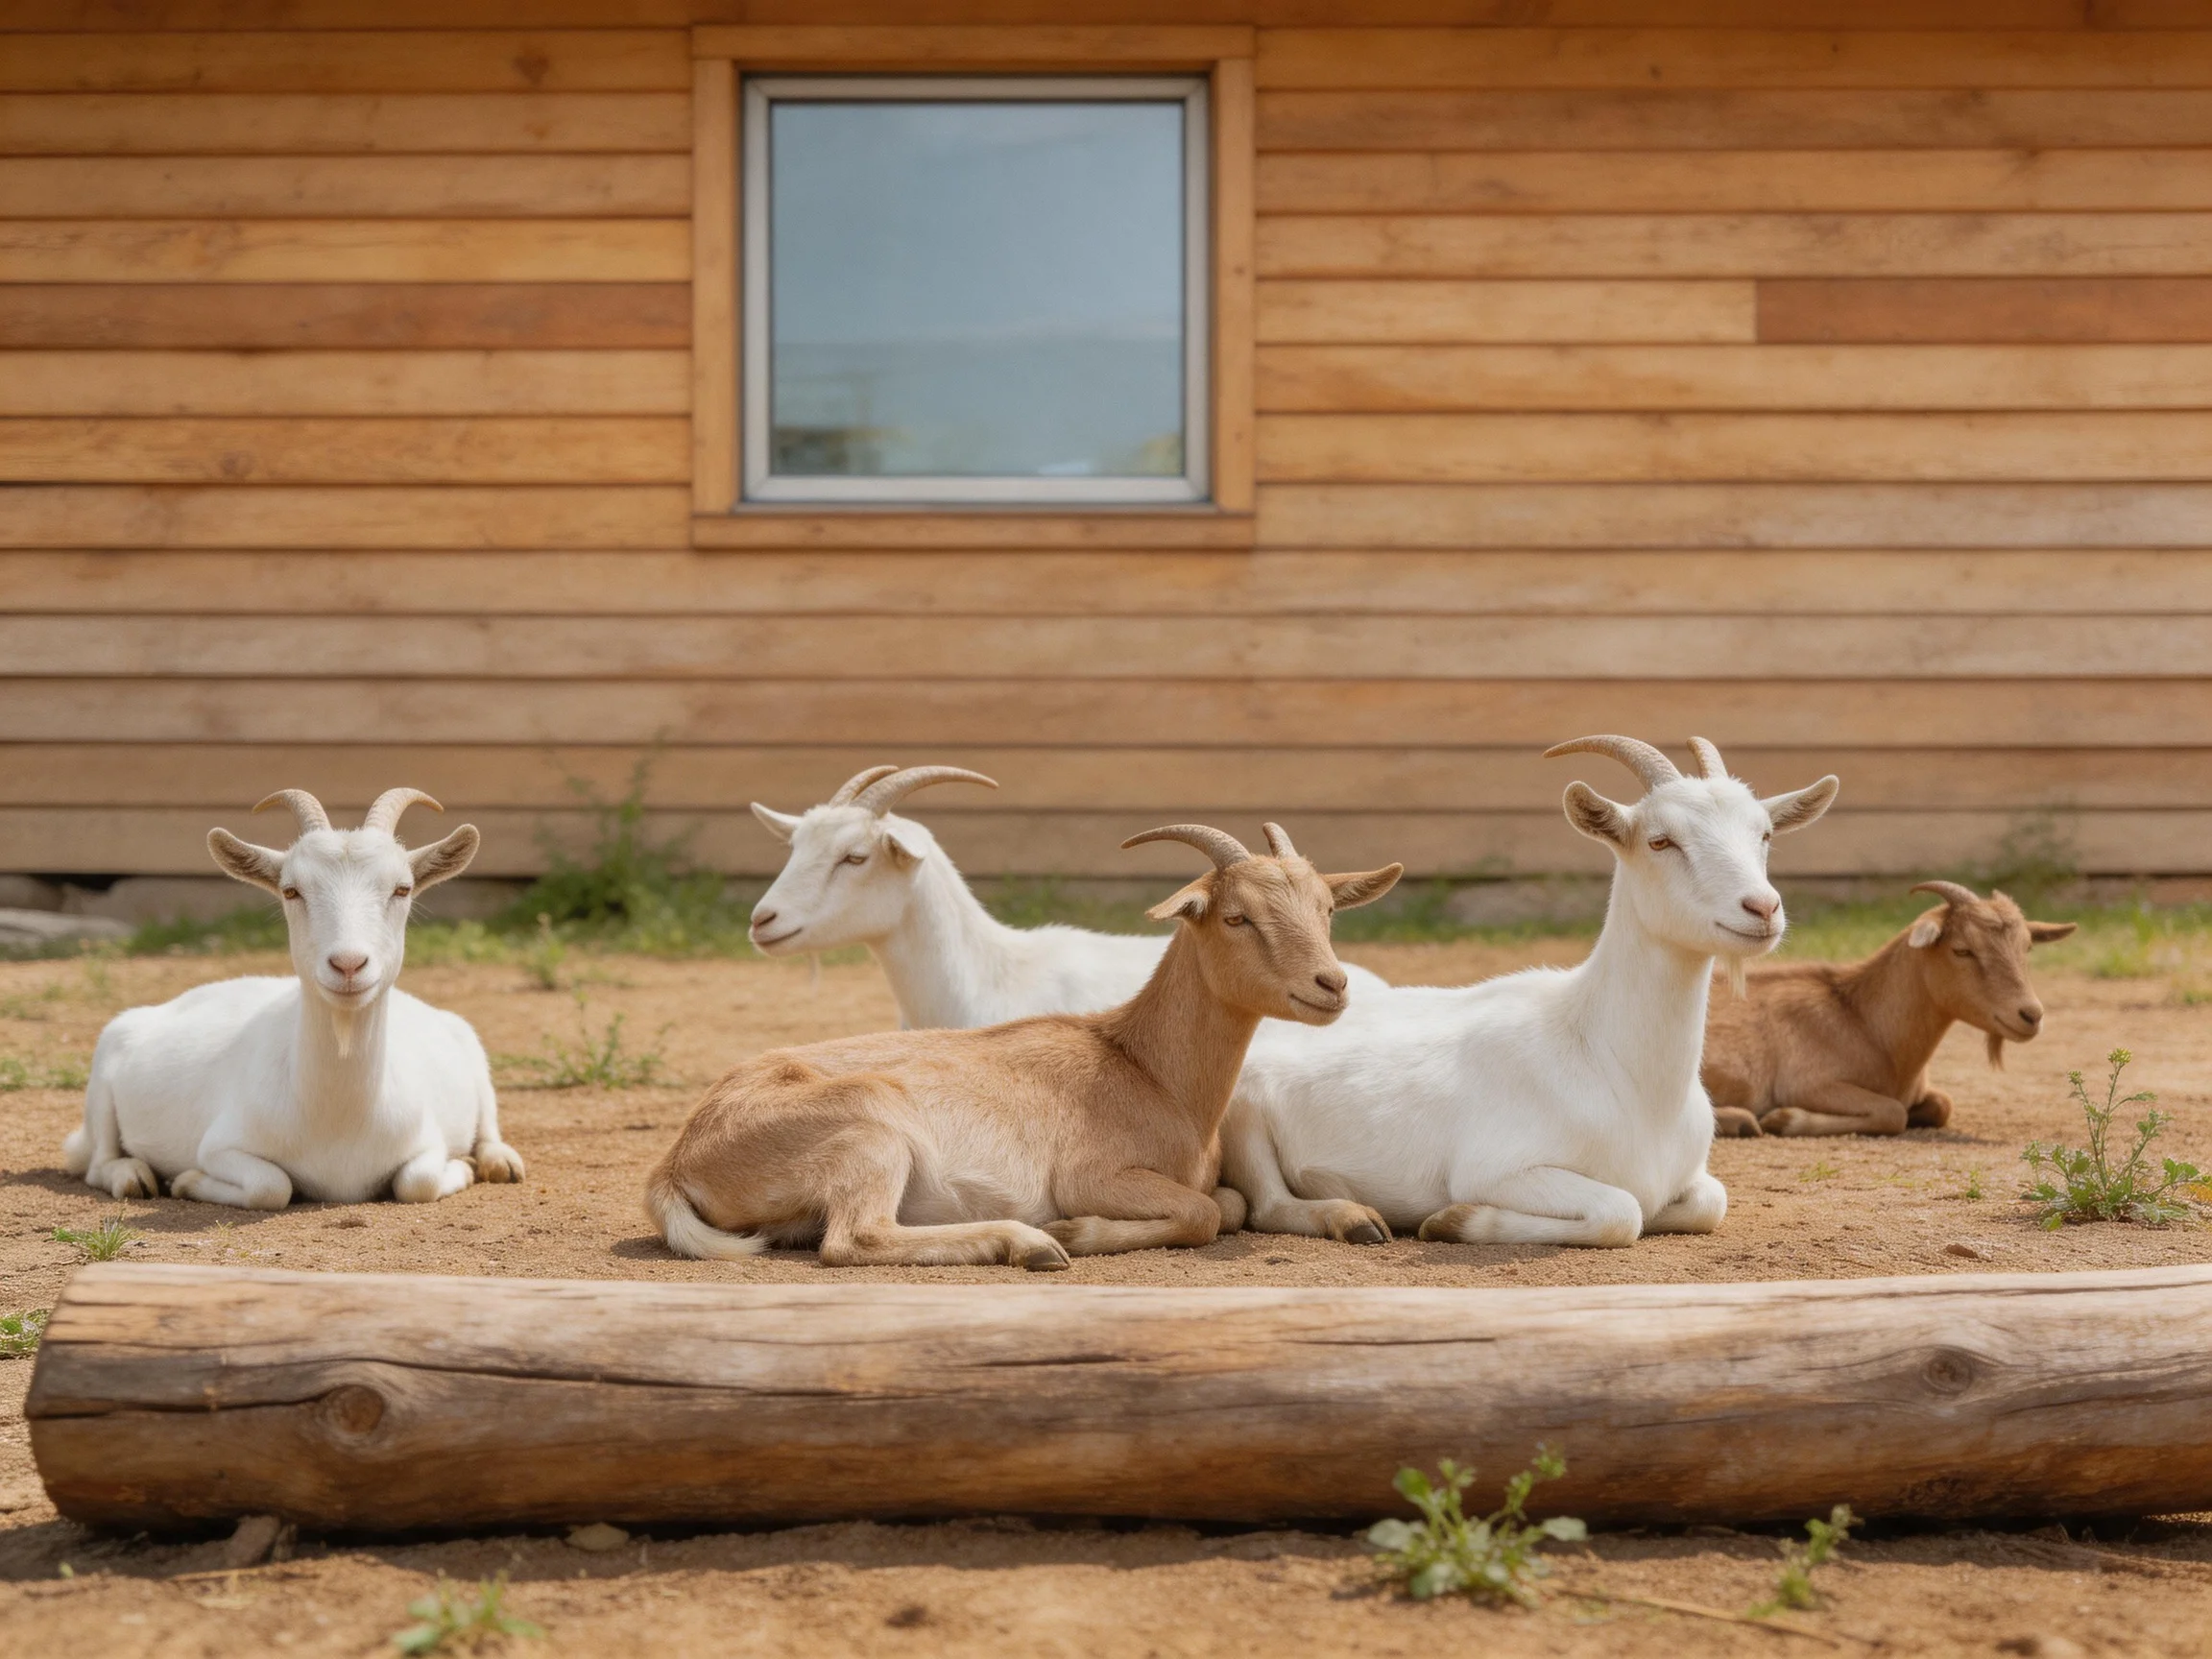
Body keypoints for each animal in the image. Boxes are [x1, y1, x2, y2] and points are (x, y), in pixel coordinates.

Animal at [65, 789, 523, 1208]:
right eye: (291, 891)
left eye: (402, 889)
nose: (348, 964)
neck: (341, 1120)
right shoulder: (220, 1145)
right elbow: (271, 1187)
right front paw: (185, 1181)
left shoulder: (426, 1140)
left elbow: (419, 1183)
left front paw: (463, 1166)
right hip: (104, 1068)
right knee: (96, 1161)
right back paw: (133, 1175)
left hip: (471, 1047)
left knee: (489, 1128)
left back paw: (500, 1161)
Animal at [647, 823, 1402, 1269]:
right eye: (1236, 916)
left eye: (1325, 910)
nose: (1330, 985)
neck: (1145, 1069)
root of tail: (677, 1161)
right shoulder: (1093, 1174)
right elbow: (1205, 1212)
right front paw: (1072, 1232)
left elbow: (1234, 1204)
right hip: (869, 1134)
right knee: (853, 1239)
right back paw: (1030, 1243)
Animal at [1220, 736, 1837, 1249]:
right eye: (1661, 841)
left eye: (1764, 835)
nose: (1762, 908)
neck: (1616, 1068)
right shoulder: (1498, 1168)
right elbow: (1621, 1212)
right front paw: (1452, 1220)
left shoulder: (1693, 1178)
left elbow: (1710, 1201)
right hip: (1244, 1114)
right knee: (1269, 1204)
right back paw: (1356, 1219)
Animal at [1705, 880, 2076, 1138]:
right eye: (1962, 950)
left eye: (2026, 947)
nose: (2030, 1015)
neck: (1864, 1021)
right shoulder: (1808, 1084)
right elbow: (1893, 1112)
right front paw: (1782, 1119)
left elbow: (1943, 1105)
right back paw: (1742, 1120)